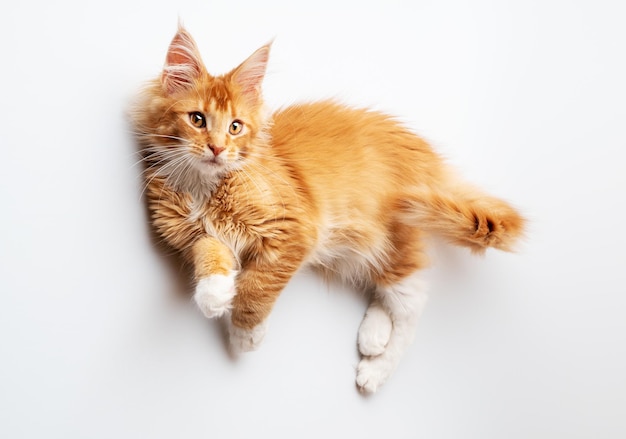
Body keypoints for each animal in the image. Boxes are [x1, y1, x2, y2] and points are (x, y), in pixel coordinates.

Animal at [130, 25, 520, 394]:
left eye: (235, 127)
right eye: (197, 119)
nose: (217, 148)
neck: (203, 185)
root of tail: (427, 156)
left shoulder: (295, 229)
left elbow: (258, 286)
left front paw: (245, 333)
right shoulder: (195, 233)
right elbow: (209, 253)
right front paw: (215, 294)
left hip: (397, 229)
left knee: (412, 304)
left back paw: (375, 370)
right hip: (368, 246)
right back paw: (372, 336)